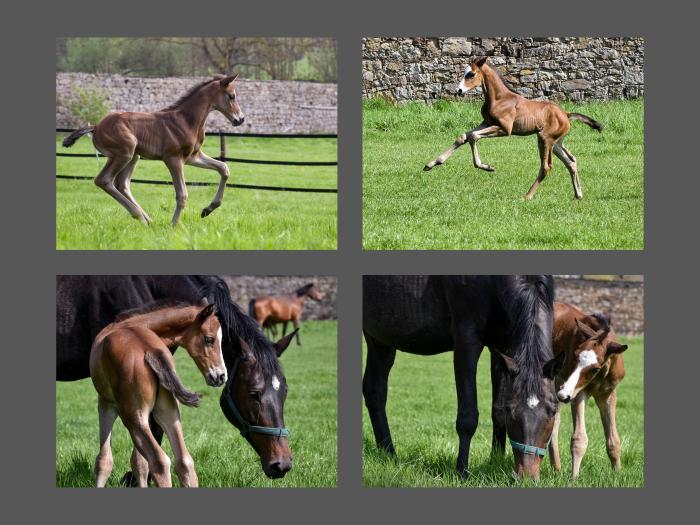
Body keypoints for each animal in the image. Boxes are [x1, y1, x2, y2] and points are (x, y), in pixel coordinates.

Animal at [61, 72, 246, 224]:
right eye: (231, 96)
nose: (241, 119)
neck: (186, 120)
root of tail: (96, 126)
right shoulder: (173, 159)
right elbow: (182, 194)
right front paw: (174, 225)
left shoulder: (193, 156)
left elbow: (224, 168)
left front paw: (208, 209)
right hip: (124, 153)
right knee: (104, 180)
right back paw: (140, 217)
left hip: (133, 156)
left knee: (123, 183)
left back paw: (147, 219)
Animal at [87, 298, 224, 488]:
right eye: (210, 339)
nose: (221, 376)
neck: (130, 324)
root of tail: (151, 350)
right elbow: (139, 463)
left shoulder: (106, 403)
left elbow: (104, 461)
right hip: (168, 413)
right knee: (184, 461)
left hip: (133, 417)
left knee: (159, 461)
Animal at [424, 56, 604, 201]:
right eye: (464, 73)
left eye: (471, 74)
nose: (459, 91)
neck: (499, 98)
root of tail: (566, 114)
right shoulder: (487, 123)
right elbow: (463, 136)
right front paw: (432, 163)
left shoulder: (505, 129)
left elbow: (474, 136)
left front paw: (486, 167)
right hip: (556, 143)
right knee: (571, 161)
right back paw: (578, 194)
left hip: (544, 139)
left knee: (546, 167)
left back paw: (527, 196)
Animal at [548, 300, 632, 476]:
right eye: (574, 355)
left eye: (595, 368)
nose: (564, 394)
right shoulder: (578, 394)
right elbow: (579, 439)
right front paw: (574, 477)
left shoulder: (607, 394)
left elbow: (613, 440)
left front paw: (617, 473)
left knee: (554, 419)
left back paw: (556, 468)